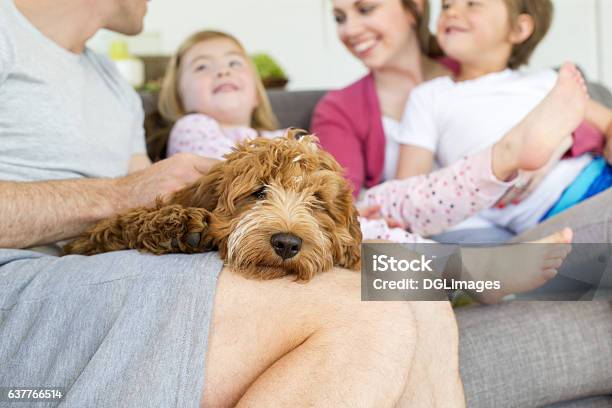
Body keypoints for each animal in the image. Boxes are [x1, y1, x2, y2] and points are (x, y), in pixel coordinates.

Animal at [65, 131, 364, 280]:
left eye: (317, 201)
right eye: (259, 191)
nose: (287, 243)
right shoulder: (82, 243)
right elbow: (112, 226)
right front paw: (174, 226)